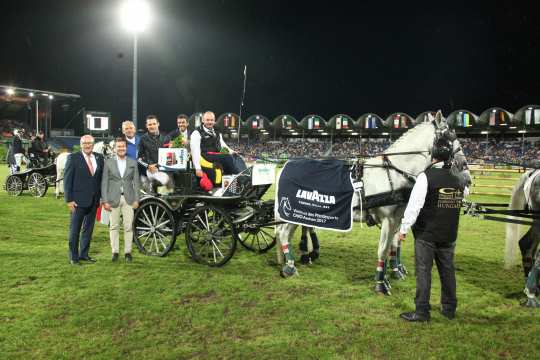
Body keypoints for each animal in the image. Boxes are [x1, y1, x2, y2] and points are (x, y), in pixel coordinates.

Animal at [276, 114, 470, 294]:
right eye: (449, 136)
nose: (465, 170)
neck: (394, 172)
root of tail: (286, 167)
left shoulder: (398, 219)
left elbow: (394, 245)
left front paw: (396, 270)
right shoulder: (388, 220)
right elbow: (383, 249)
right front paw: (381, 283)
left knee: (292, 231)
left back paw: (295, 258)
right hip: (294, 212)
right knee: (284, 233)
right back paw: (290, 266)